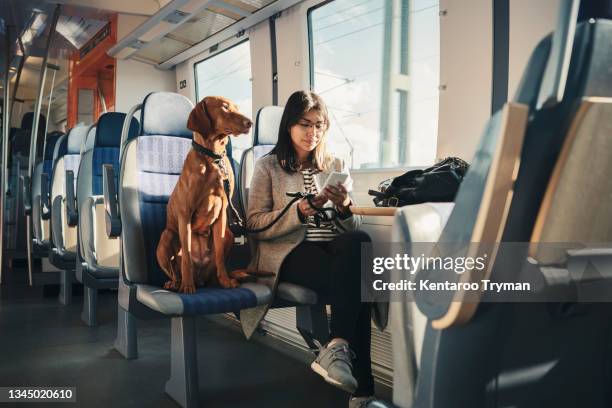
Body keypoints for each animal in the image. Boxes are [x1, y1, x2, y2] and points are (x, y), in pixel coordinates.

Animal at [158, 95, 253, 294]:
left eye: (237, 107)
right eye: (225, 108)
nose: (250, 122)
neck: (213, 158)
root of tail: (200, 277)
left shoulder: (222, 213)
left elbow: (219, 255)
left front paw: (226, 281)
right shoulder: (185, 215)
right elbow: (186, 256)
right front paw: (187, 286)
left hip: (229, 234)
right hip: (167, 235)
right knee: (174, 270)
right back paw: (176, 283)